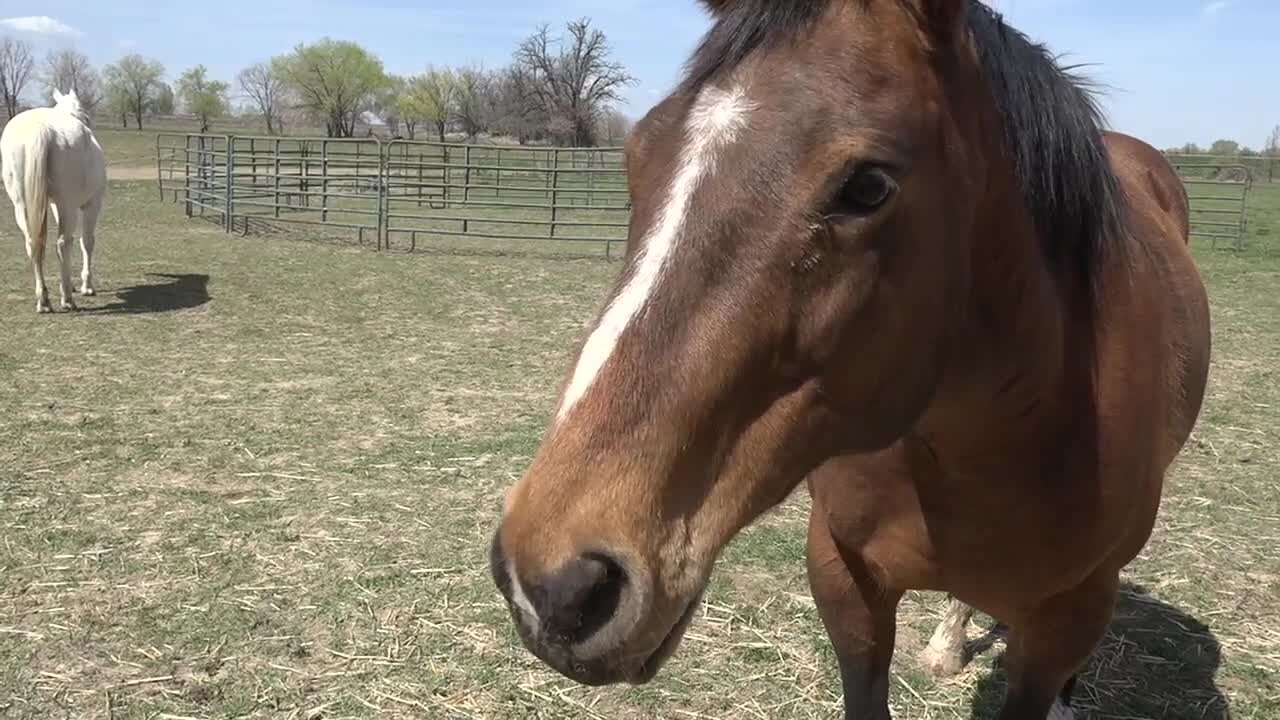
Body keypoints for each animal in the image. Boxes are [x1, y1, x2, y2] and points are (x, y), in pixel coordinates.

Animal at [1, 87, 106, 311]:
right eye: (85, 114)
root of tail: (41, 128)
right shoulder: (91, 205)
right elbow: (87, 241)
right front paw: (86, 286)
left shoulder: (55, 206)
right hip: (68, 205)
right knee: (63, 242)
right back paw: (67, 298)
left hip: (22, 205)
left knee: (33, 244)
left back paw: (44, 299)